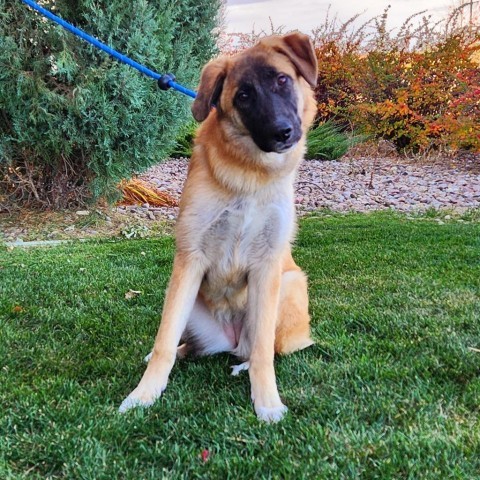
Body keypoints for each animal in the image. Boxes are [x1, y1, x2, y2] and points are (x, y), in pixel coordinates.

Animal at [118, 32, 318, 420]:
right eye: (243, 95)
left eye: (282, 80)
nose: (283, 132)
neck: (250, 176)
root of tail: (231, 340)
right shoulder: (189, 260)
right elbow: (165, 340)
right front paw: (143, 394)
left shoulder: (268, 266)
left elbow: (263, 353)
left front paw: (267, 401)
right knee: (185, 342)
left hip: (288, 284)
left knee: (262, 348)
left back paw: (245, 363)